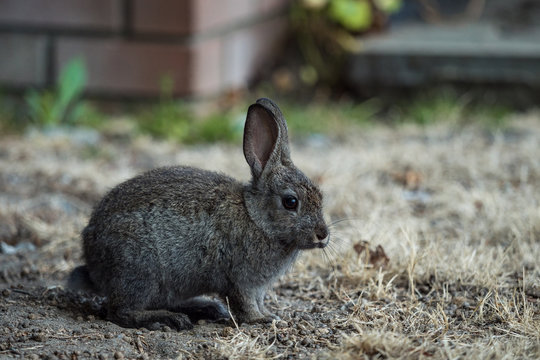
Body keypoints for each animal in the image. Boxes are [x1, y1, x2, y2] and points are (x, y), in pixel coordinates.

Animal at [67, 97, 330, 330]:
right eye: (290, 202)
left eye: (321, 196)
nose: (323, 235)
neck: (256, 218)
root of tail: (92, 259)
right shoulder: (239, 279)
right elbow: (245, 304)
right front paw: (260, 319)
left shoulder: (258, 287)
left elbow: (258, 301)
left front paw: (269, 314)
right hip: (140, 270)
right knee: (119, 312)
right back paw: (167, 319)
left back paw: (205, 308)